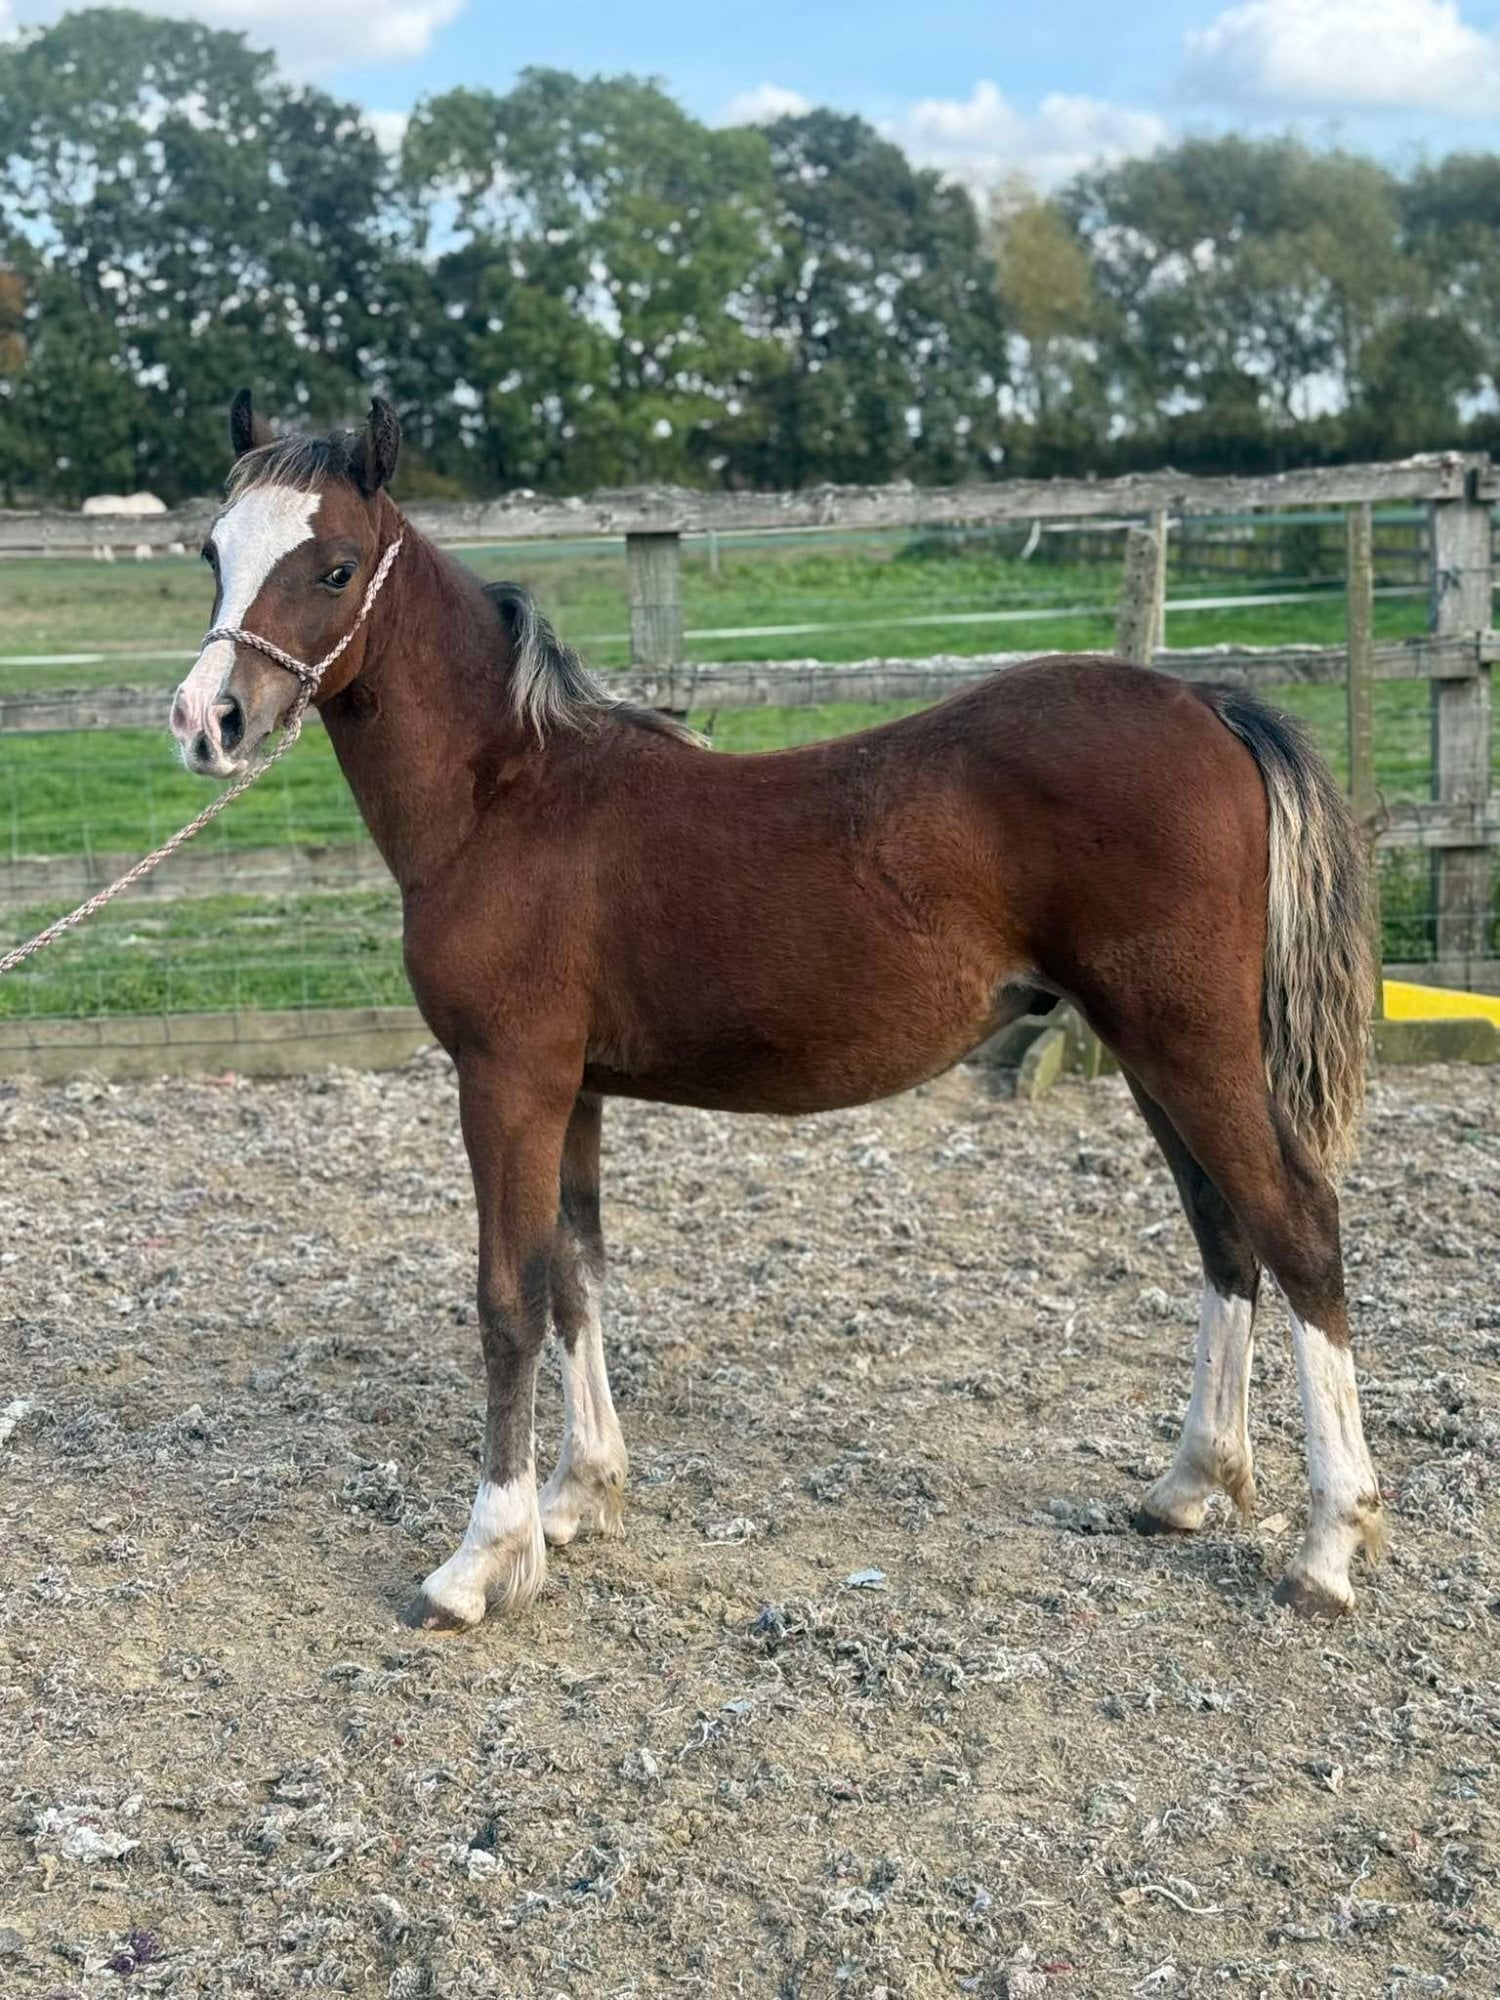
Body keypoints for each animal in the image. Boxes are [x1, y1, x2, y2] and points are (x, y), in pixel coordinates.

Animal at [169, 394, 1383, 1631]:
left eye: (334, 565)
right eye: (213, 552)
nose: (206, 720)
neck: (506, 794)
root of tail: (1206, 701)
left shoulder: (507, 1079)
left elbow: (509, 1299)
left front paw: (481, 1559)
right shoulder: (574, 1089)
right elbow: (577, 1276)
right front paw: (579, 1495)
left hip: (1189, 1045)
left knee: (1297, 1224)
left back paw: (1328, 1545)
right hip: (1152, 1054)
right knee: (1224, 1233)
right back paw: (1190, 1484)